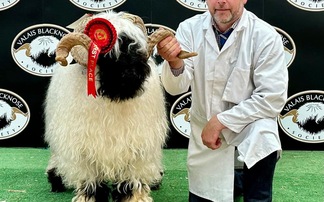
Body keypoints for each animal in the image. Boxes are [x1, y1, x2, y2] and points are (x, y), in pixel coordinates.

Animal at [44, 11, 196, 202]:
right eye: (105, 54)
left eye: (136, 46)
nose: (132, 74)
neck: (115, 98)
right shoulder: (85, 144)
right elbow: (90, 176)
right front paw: (89, 196)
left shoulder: (136, 142)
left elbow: (132, 175)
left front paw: (134, 197)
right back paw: (55, 179)